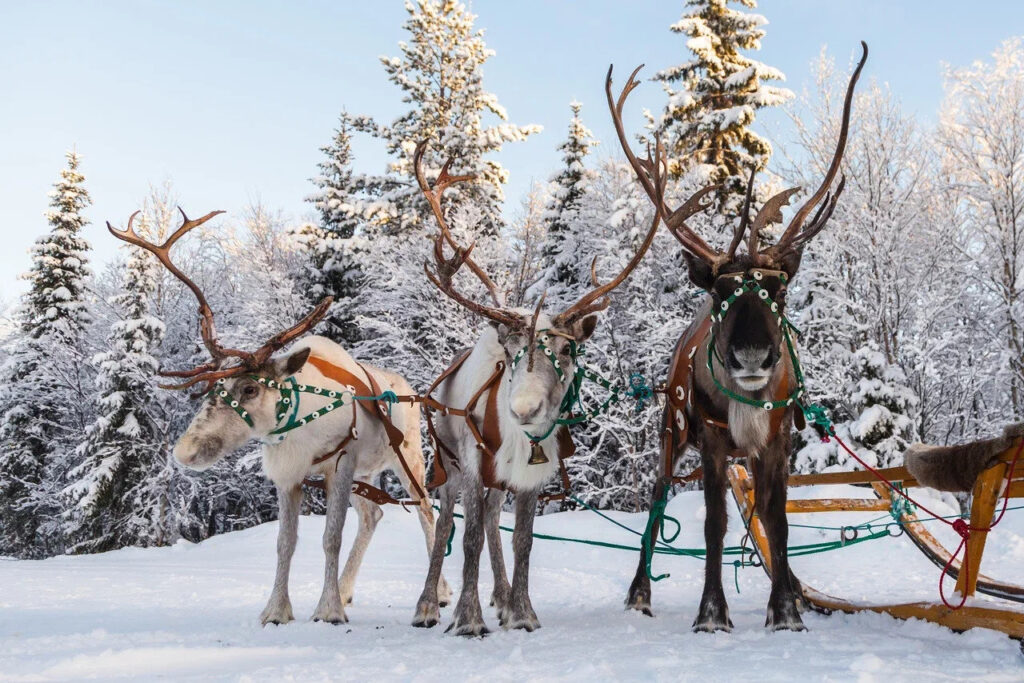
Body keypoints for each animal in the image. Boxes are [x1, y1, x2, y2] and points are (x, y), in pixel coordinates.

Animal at [107, 208, 450, 626]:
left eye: (250, 389)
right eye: (213, 390)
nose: (185, 451)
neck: (299, 425)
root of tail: (411, 389)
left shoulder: (340, 463)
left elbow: (330, 537)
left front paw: (328, 609)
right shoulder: (289, 476)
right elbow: (285, 543)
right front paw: (276, 610)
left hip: (410, 457)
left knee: (426, 510)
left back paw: (438, 595)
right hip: (367, 475)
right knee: (373, 515)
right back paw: (348, 588)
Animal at [407, 138, 715, 636]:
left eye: (567, 350)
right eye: (509, 352)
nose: (524, 409)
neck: (519, 438)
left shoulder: (531, 475)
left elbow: (523, 542)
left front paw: (521, 612)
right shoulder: (472, 465)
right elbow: (467, 539)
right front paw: (468, 619)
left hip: (496, 479)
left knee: (492, 521)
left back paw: (499, 597)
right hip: (446, 462)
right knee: (446, 525)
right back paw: (429, 606)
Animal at [613, 43, 869, 632]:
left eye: (779, 289)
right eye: (720, 291)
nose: (752, 354)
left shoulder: (776, 443)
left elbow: (776, 519)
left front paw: (786, 607)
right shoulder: (710, 443)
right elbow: (713, 523)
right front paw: (712, 612)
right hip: (671, 431)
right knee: (658, 496)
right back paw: (639, 592)